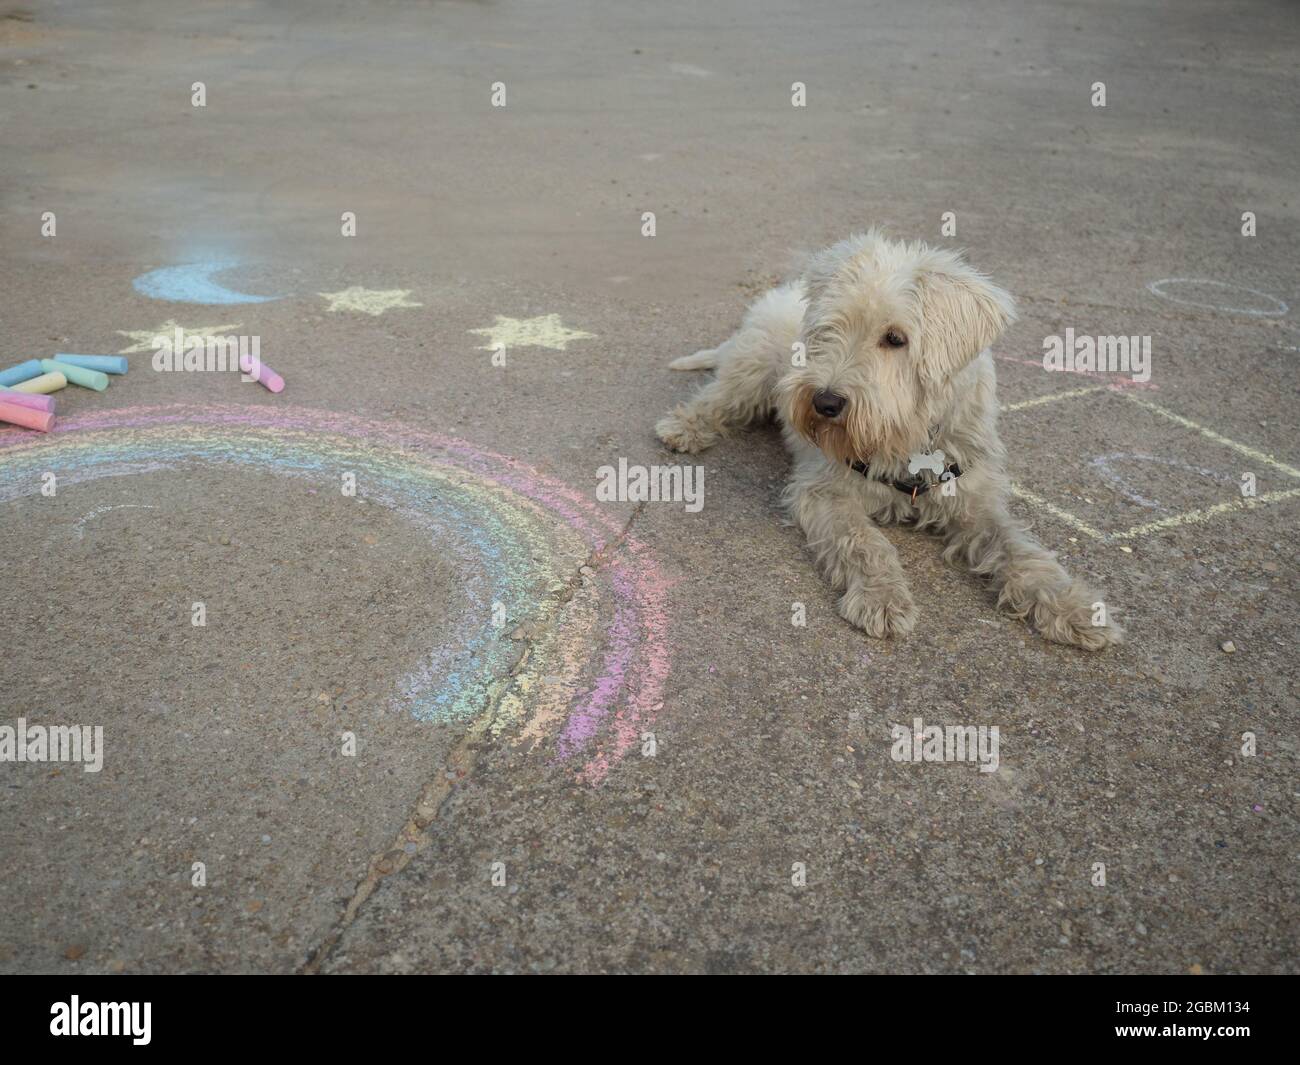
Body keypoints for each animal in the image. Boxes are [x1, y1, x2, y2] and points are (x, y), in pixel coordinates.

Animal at [655, 232, 1123, 650]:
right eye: (830, 328)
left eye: (895, 338)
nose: (825, 401)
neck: (912, 439)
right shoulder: (824, 491)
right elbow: (865, 542)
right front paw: (881, 597)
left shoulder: (976, 502)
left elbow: (1022, 551)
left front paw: (1074, 606)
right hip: (751, 372)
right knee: (715, 398)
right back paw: (683, 427)